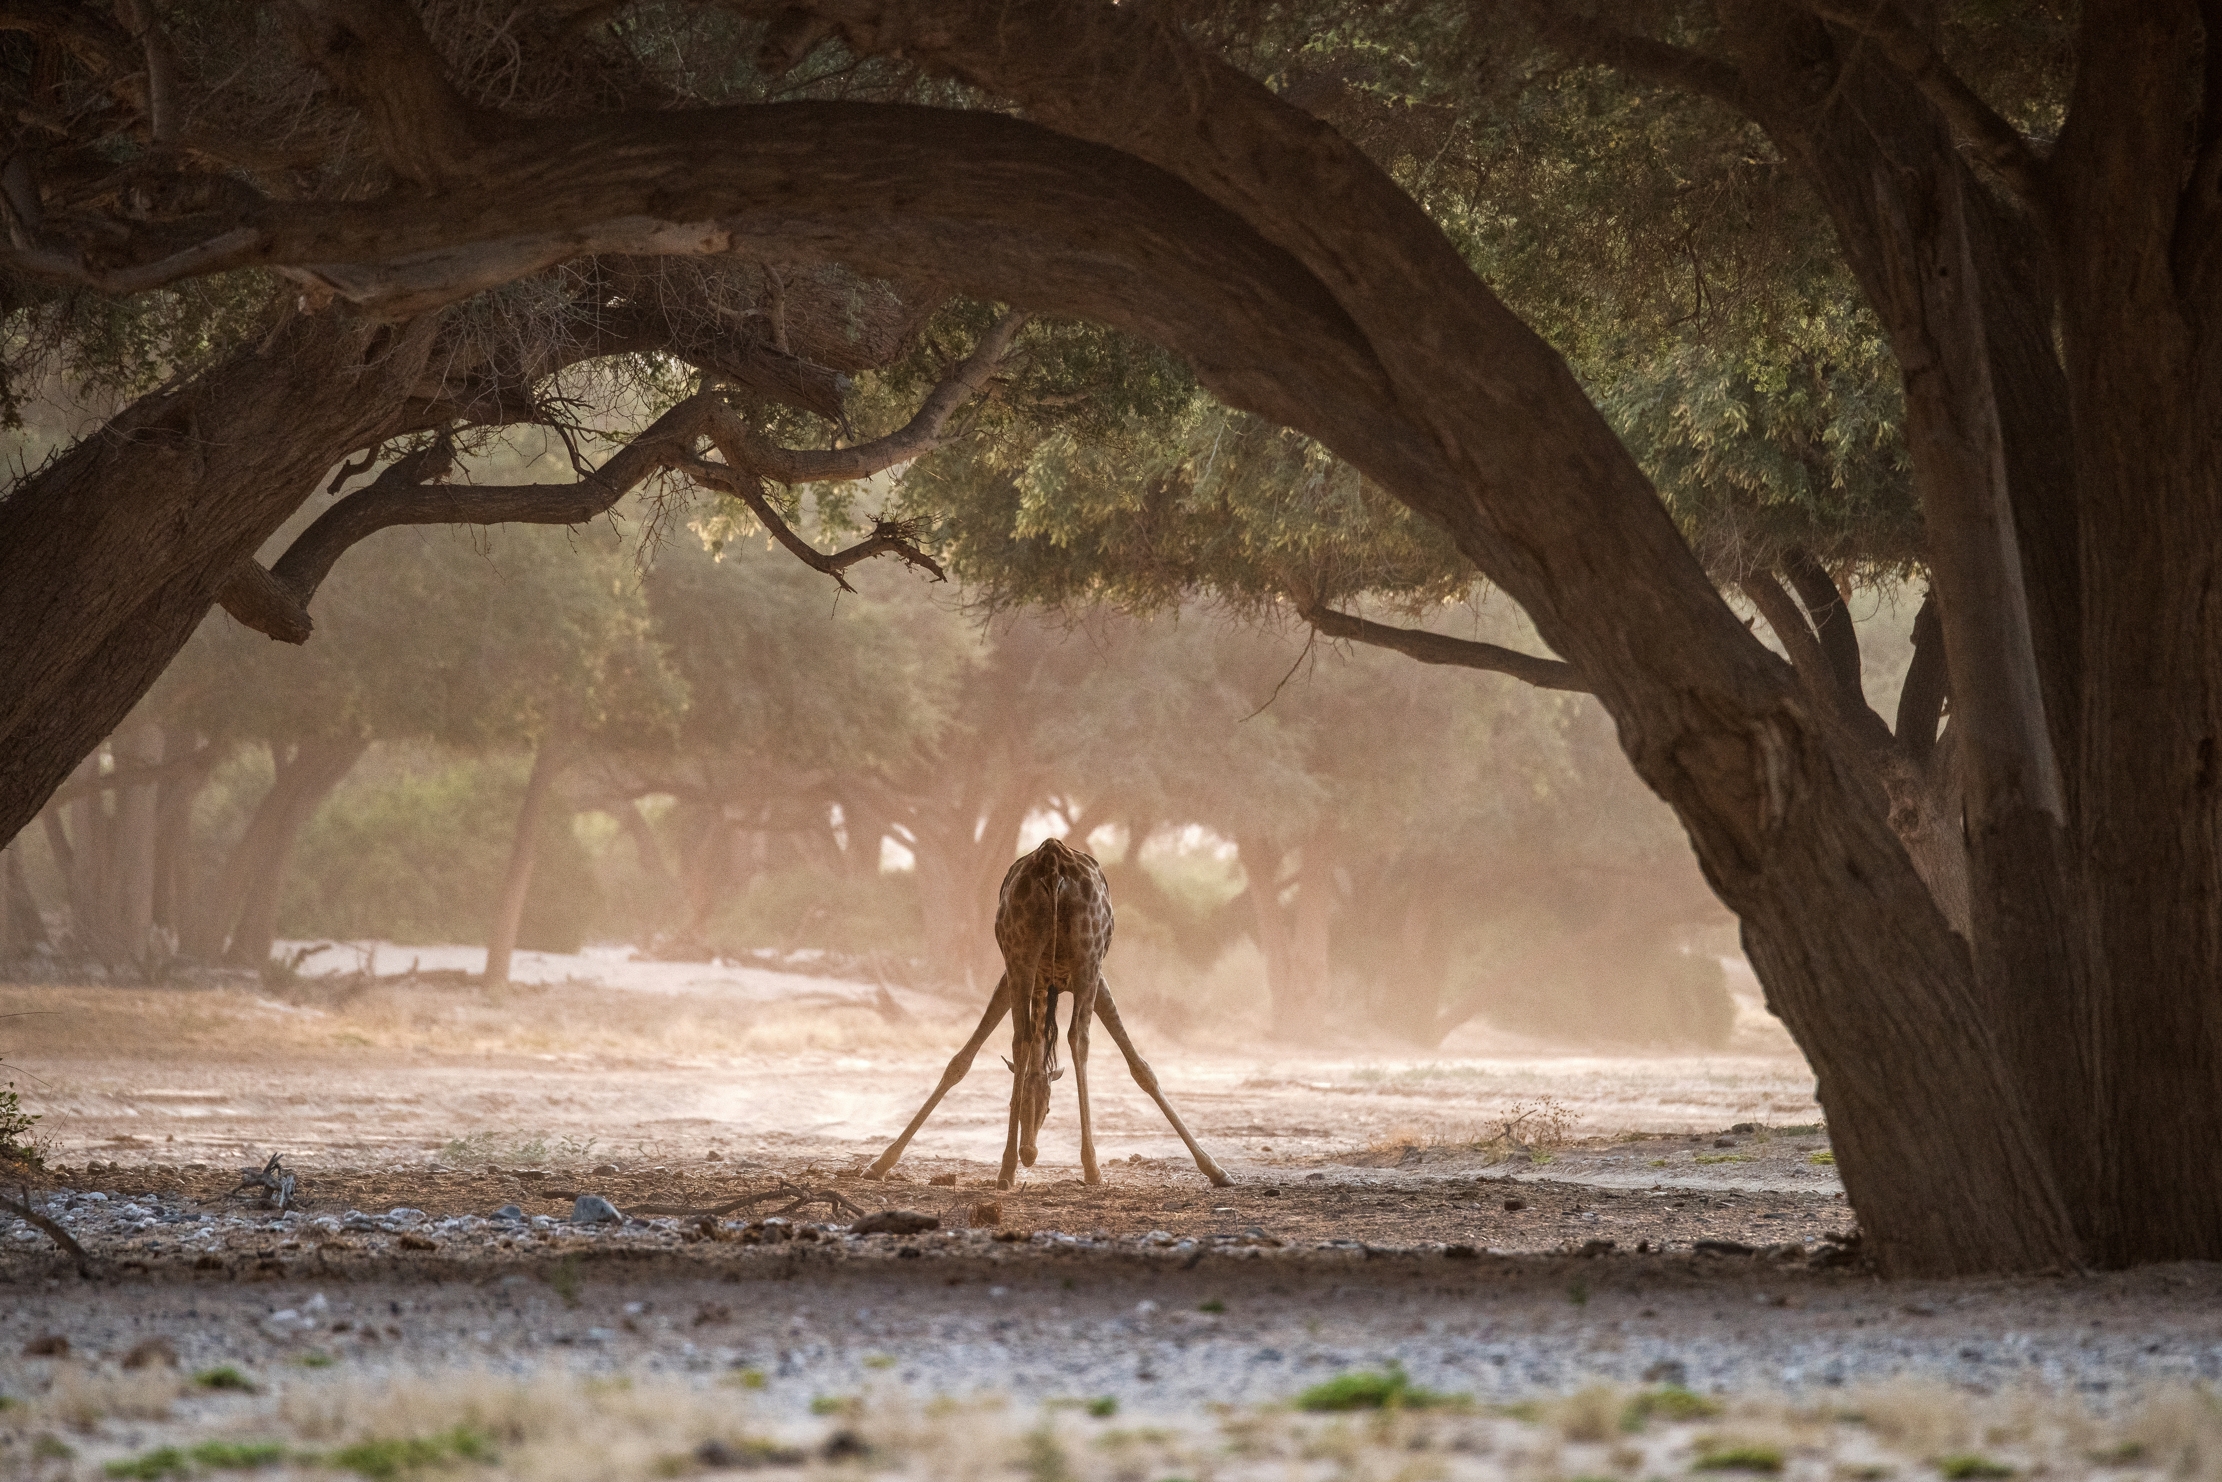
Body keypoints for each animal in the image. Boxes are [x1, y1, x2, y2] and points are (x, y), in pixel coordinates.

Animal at [865, 837, 1231, 1188]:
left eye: (1047, 1108)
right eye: (1021, 1108)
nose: (1029, 1153)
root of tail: (1053, 867)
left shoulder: (1037, 976)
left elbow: (1141, 1069)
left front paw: (1215, 1169)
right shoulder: (1080, 974)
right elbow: (962, 1061)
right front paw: (880, 1163)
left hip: (1029, 955)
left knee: (1028, 1037)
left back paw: (1011, 1170)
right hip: (1080, 956)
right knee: (1073, 1037)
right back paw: (1085, 1169)